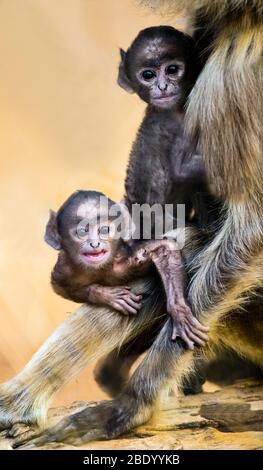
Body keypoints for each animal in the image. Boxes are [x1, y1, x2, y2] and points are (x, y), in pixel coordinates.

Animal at [45, 191, 209, 348]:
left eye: (104, 230)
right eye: (82, 232)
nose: (94, 244)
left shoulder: (126, 255)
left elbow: (165, 248)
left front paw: (179, 312)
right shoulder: (66, 269)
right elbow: (60, 286)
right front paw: (110, 295)